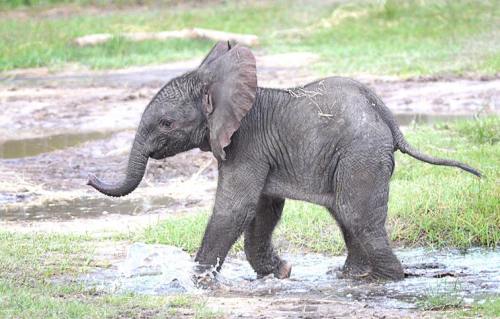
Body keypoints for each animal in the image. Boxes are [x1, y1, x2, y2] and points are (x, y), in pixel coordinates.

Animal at [88, 41, 482, 282]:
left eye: (167, 124)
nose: (90, 178)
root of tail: (388, 118)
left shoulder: (246, 144)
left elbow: (236, 207)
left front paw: (196, 281)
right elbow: (263, 210)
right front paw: (281, 273)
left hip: (361, 153)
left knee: (355, 214)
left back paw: (390, 279)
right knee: (344, 213)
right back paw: (351, 277)